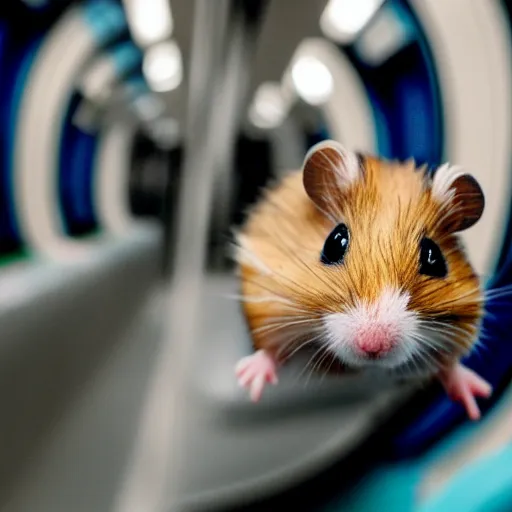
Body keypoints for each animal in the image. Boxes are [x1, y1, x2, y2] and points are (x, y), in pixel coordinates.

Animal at [233, 138, 492, 418]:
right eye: (334, 242)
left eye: (433, 258)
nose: (373, 347)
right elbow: (269, 350)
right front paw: (249, 384)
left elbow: (450, 366)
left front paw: (478, 400)